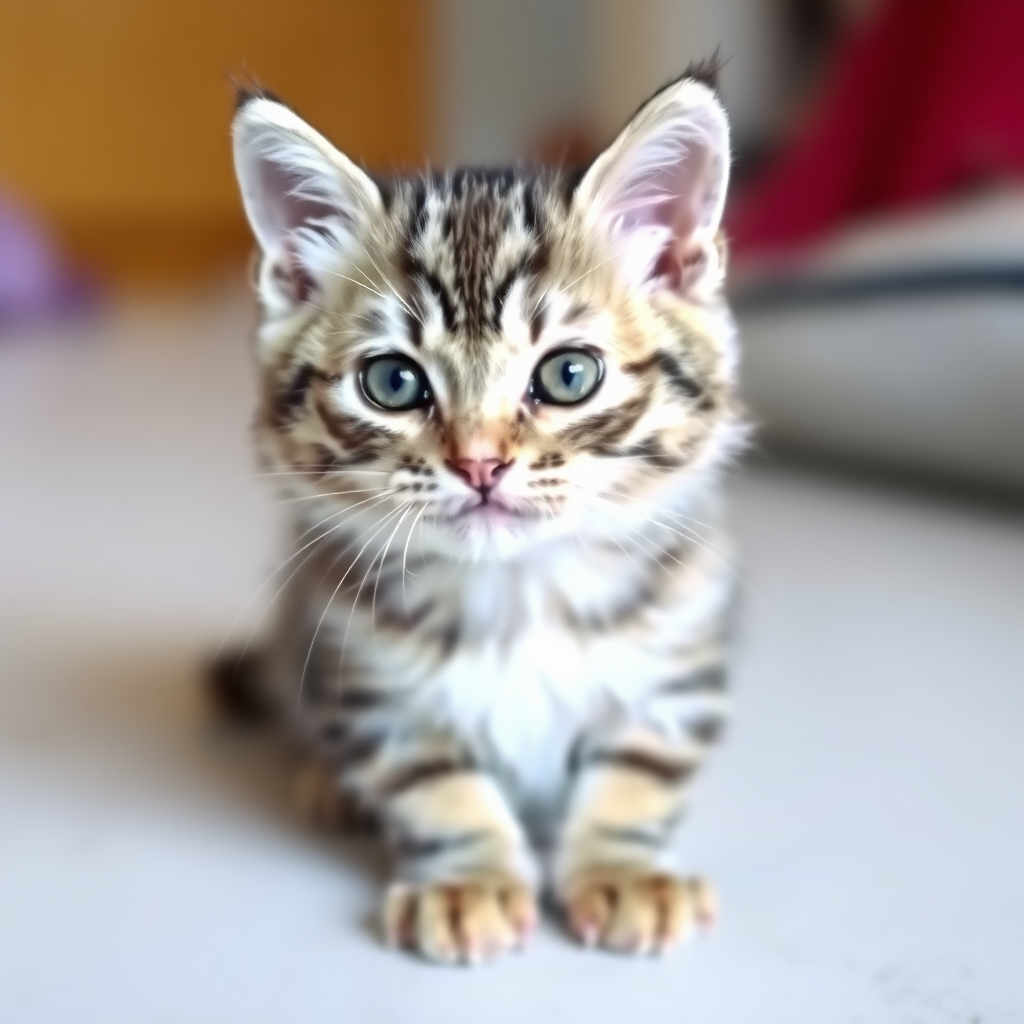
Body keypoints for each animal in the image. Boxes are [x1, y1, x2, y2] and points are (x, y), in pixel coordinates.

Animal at [222, 59, 745, 962]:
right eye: (393, 381)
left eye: (568, 374)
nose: (479, 462)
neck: (519, 594)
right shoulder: (369, 677)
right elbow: (433, 784)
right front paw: (469, 881)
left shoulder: (679, 657)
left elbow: (640, 771)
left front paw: (623, 870)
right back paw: (331, 784)